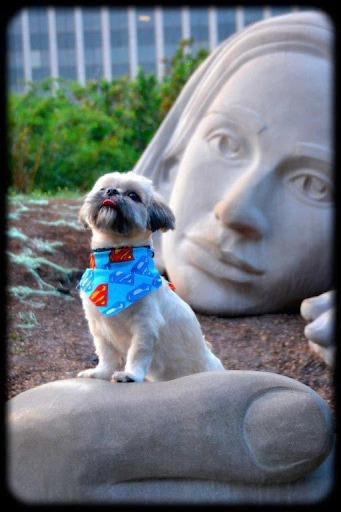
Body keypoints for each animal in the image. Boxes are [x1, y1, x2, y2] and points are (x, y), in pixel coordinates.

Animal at [76, 172, 223, 384]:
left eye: (133, 195)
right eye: (102, 188)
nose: (111, 191)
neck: (117, 258)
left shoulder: (145, 326)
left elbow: (138, 353)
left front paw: (130, 375)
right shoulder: (100, 327)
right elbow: (106, 355)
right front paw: (99, 373)